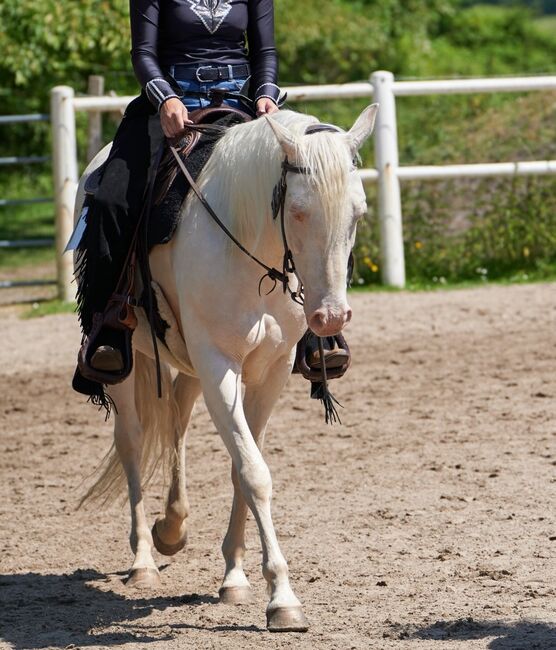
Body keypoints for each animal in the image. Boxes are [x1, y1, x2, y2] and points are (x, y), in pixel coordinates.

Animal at [74, 104, 378, 632]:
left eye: (358, 214)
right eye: (299, 210)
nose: (329, 318)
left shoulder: (270, 371)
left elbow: (242, 468)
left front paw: (235, 577)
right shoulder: (220, 365)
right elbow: (254, 472)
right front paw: (282, 599)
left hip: (190, 365)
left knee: (176, 419)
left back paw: (172, 527)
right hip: (130, 362)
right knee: (132, 440)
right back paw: (144, 561)